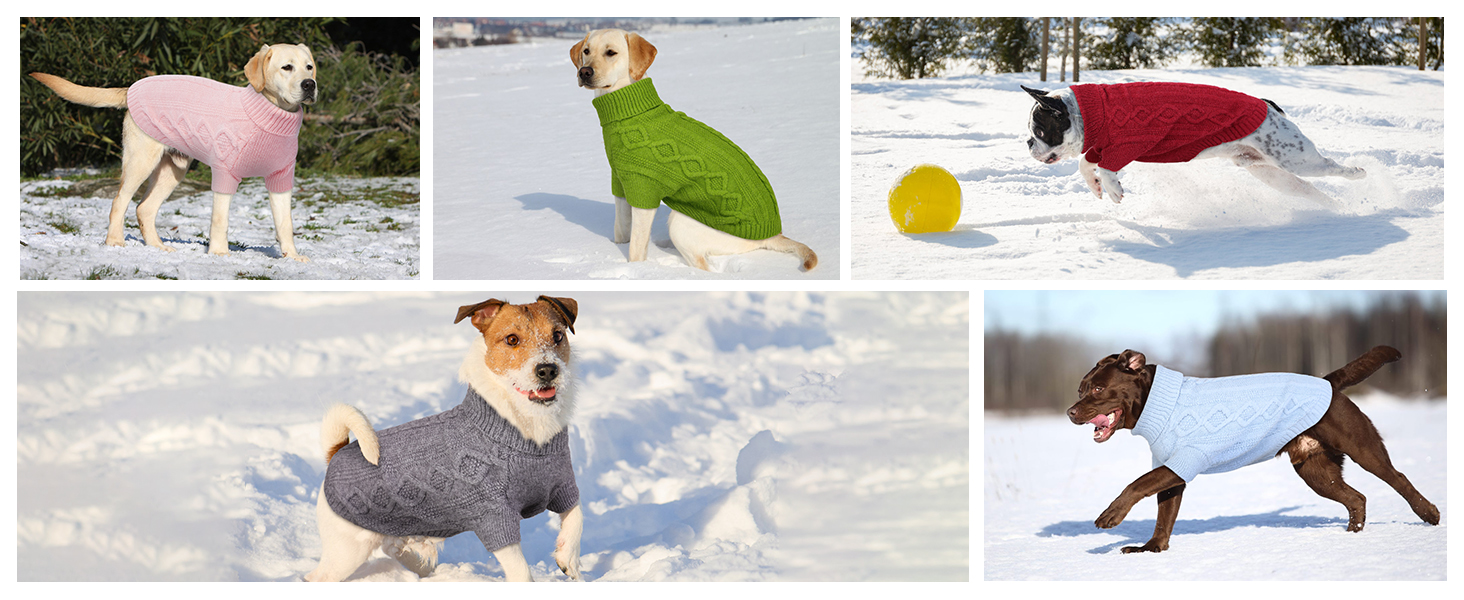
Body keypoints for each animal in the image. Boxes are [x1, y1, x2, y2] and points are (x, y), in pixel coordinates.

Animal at [32, 43, 317, 260]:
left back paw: (158, 247)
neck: (272, 112)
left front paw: (292, 257)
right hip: (141, 161)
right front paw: (219, 254)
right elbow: (220, 221)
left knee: (144, 209)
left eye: (309, 67)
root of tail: (131, 87)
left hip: (173, 170)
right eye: (286, 67)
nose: (310, 85)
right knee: (119, 201)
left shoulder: (281, 179)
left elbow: (285, 224)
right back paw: (114, 242)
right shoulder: (224, 174)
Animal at [305, 297, 579, 582]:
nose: (548, 370)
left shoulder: (563, 486)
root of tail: (336, 453)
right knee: (317, 577)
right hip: (346, 552)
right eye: (512, 339)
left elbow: (576, 516)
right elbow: (521, 570)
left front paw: (567, 558)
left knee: (393, 547)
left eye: (558, 335)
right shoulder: (494, 517)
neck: (528, 427)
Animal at [570, 28, 819, 270]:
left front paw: (637, 271)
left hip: (681, 223)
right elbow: (621, 232)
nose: (584, 72)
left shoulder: (644, 191)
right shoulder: (621, 184)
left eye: (611, 52)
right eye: (586, 51)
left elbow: (636, 249)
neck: (627, 110)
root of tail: (773, 234)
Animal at [1024, 81, 1364, 209]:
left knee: (1330, 166)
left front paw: (1113, 190)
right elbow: (1085, 163)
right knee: (1305, 188)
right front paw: (1096, 188)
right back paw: (1334, 206)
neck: (1087, 113)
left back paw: (1359, 173)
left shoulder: (1129, 144)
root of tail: (1267, 104)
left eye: (1039, 130)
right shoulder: (1097, 147)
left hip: (1295, 158)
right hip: (1265, 169)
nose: (1028, 142)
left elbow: (1107, 168)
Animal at [1071, 346, 1434, 553]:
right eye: (1080, 389)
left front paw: (1110, 516)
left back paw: (1429, 514)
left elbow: (1137, 484)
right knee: (1356, 498)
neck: (1158, 404)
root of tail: (1329, 382)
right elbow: (1164, 516)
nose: (1071, 412)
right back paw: (1352, 536)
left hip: (1361, 446)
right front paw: (1151, 549)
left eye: (1099, 389)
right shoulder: (1172, 471)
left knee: (1398, 478)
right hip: (1315, 471)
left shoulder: (1185, 461)